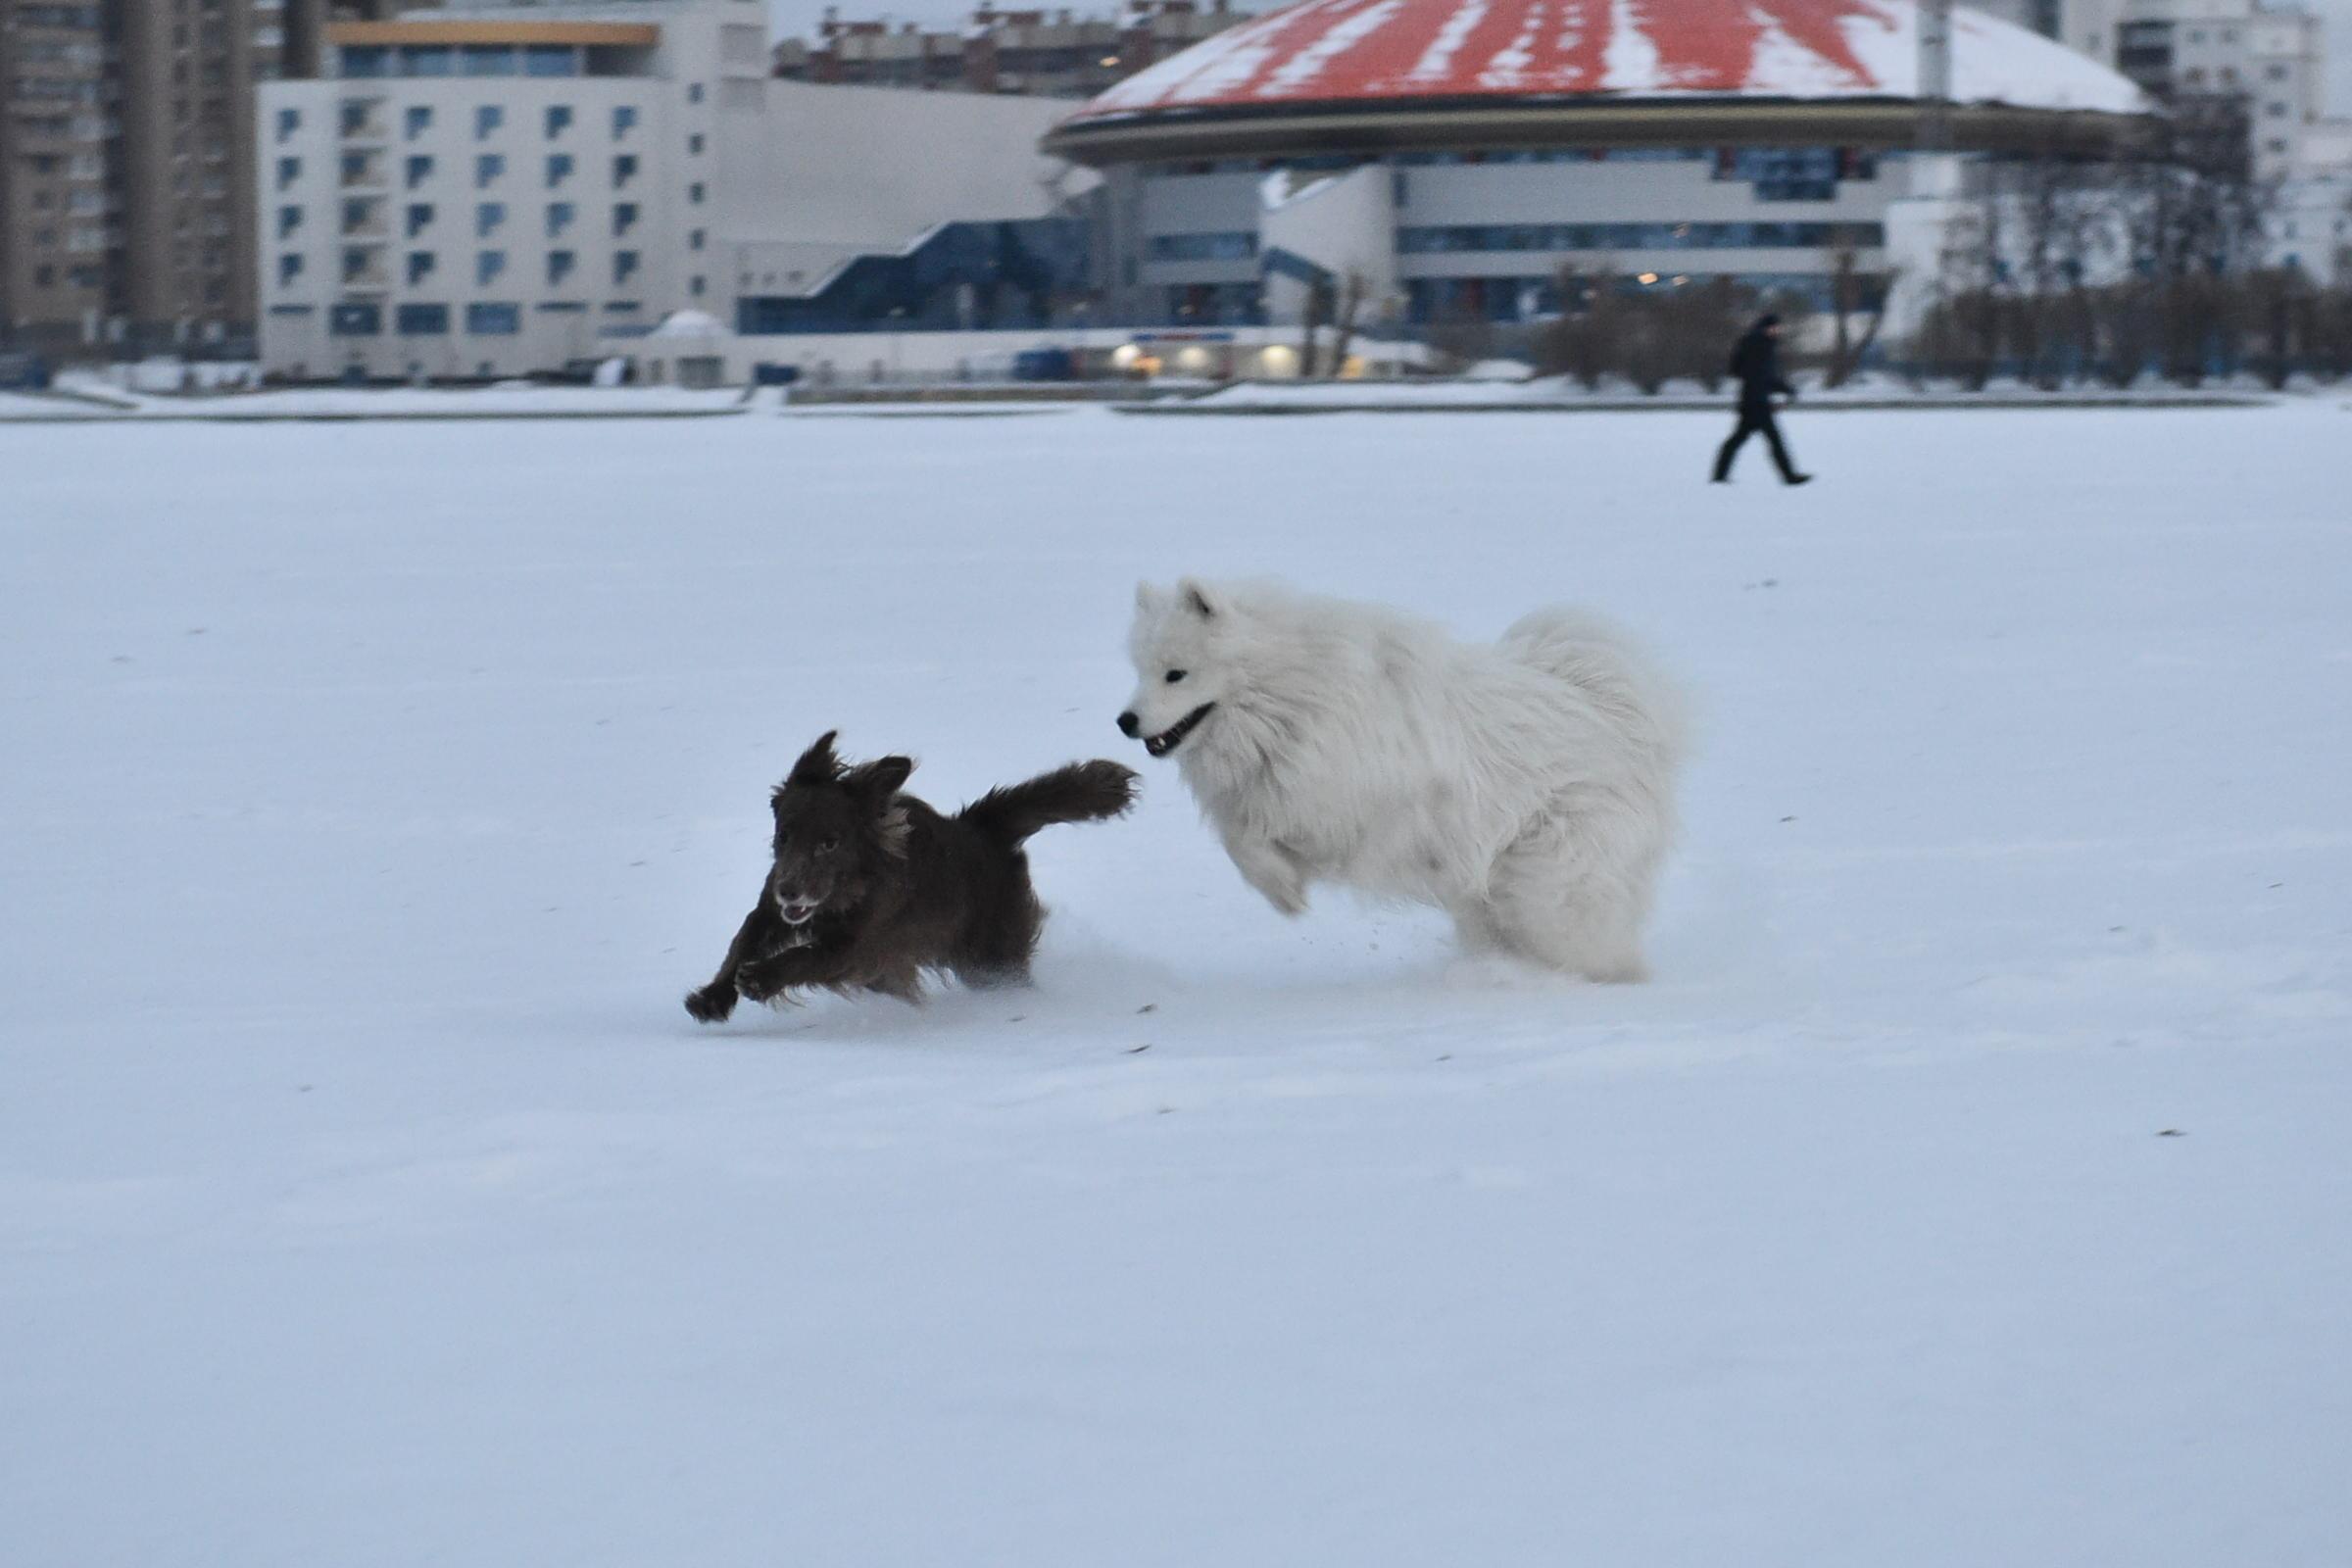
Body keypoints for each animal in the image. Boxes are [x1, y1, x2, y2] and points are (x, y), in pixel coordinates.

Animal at [1114, 575, 1674, 982]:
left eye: (1176, 674)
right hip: (1491, 894)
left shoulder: (1350, 809)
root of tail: (1614, 714)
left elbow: (1256, 833)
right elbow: (1240, 839)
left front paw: (1285, 890)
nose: (1125, 721)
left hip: (1546, 886)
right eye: (1140, 672)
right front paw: (1282, 890)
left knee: (1590, 944)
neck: (1289, 699)